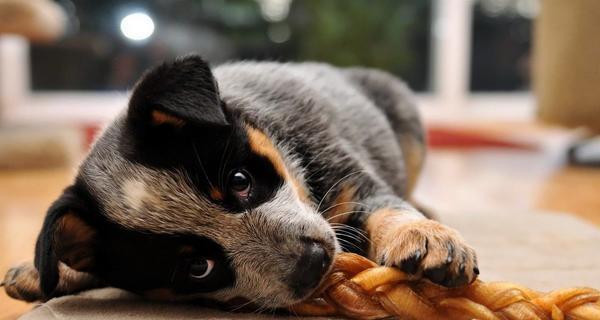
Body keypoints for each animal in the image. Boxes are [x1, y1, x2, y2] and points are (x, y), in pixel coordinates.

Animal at [1, 55, 478, 310]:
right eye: (198, 267)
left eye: (239, 180)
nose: (313, 260)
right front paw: (44, 271)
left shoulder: (351, 178)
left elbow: (388, 206)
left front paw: (426, 237)